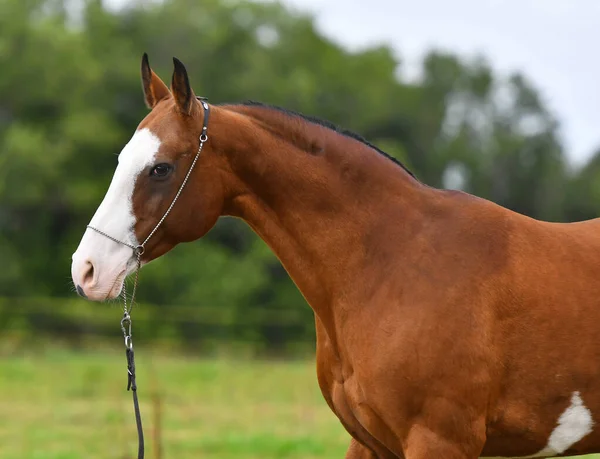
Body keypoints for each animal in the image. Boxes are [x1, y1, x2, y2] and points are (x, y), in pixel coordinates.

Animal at [71, 55, 600, 458]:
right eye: (121, 160)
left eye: (160, 168)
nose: (87, 269)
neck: (391, 265)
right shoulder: (370, 442)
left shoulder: (441, 441)